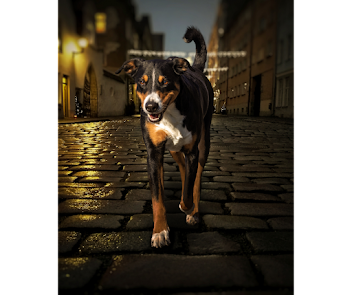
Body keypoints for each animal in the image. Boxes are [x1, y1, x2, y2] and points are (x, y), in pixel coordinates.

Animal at [116, 26, 214, 249]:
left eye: (165, 82)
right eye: (141, 83)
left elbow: (189, 188)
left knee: (196, 179)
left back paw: (193, 212)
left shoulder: (192, 151)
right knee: (184, 169)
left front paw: (187, 207)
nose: (150, 106)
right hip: (173, 148)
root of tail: (195, 69)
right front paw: (160, 232)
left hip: (203, 144)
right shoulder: (154, 154)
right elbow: (157, 198)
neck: (169, 113)